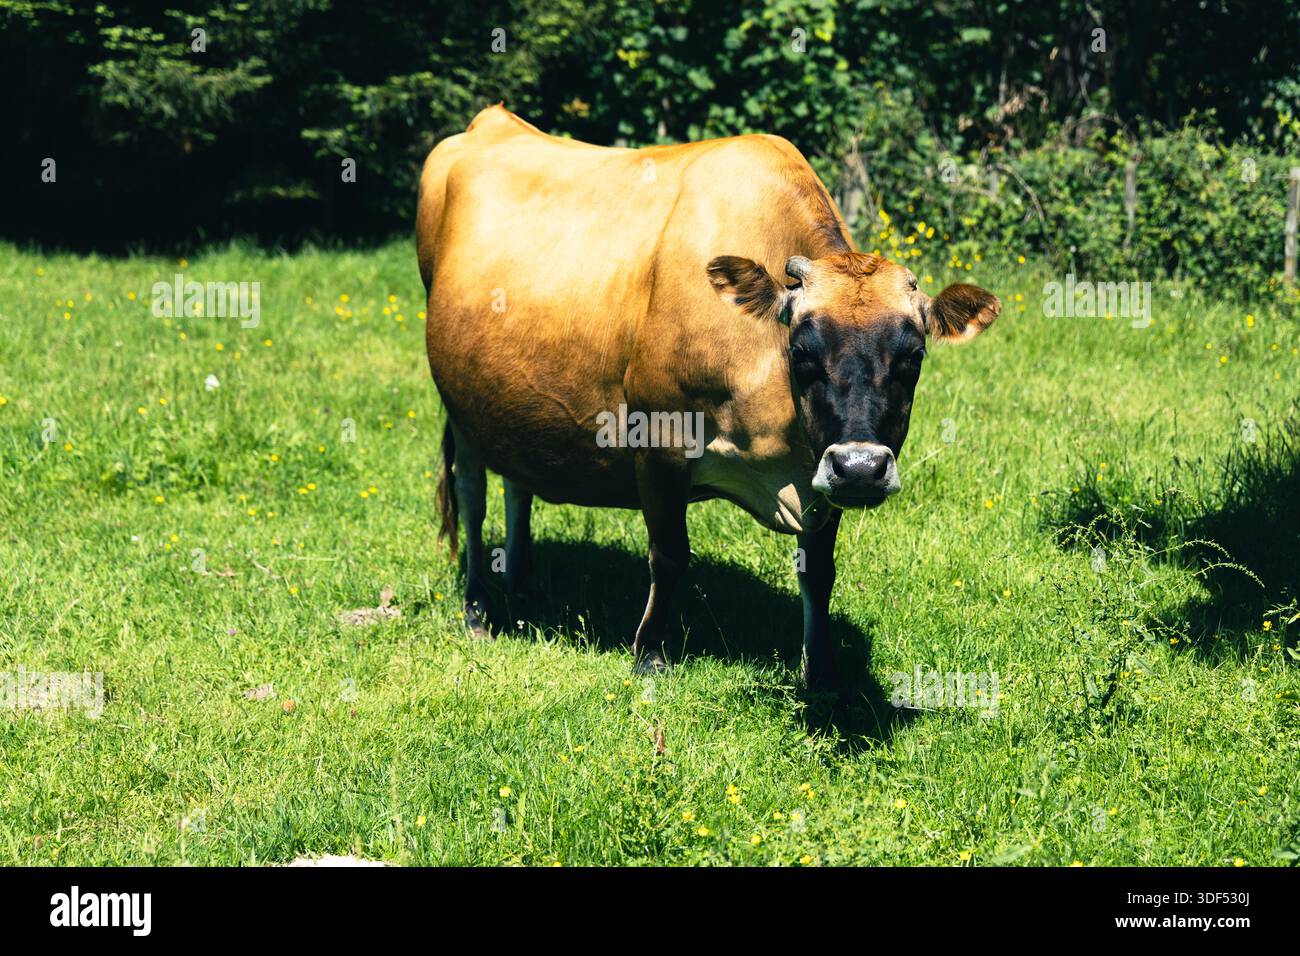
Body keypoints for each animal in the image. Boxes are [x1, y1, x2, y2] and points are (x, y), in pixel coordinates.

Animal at [416, 105, 999, 689]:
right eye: (800, 352)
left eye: (913, 357)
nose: (860, 467)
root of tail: (493, 121)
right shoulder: (658, 440)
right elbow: (670, 554)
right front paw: (650, 654)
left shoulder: (821, 469)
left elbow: (819, 571)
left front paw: (822, 669)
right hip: (458, 404)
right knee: (471, 496)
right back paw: (477, 609)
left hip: (507, 399)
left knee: (518, 482)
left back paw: (521, 583)